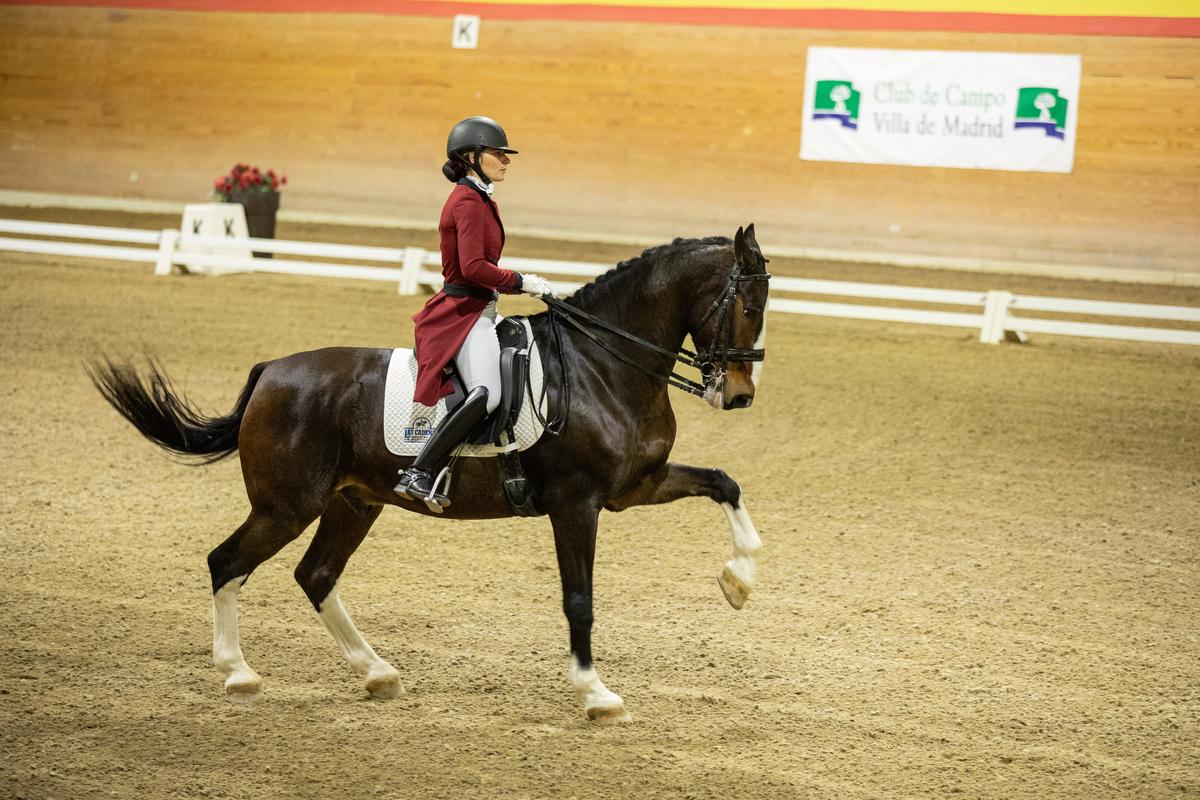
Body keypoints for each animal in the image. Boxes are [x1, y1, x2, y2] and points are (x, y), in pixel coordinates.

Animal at [91, 224, 768, 719]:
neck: (602, 363)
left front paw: (738, 581)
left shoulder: (634, 487)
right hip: (287, 505)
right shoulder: (577, 503)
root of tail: (272, 371)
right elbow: (580, 600)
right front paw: (595, 694)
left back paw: (378, 673)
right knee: (227, 563)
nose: (738, 397)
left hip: (352, 501)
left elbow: (725, 482)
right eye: (744, 303)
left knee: (316, 575)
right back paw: (238, 674)